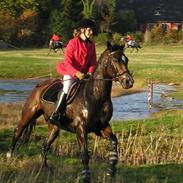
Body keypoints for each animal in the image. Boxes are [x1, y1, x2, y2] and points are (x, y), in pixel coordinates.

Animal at [6, 41, 134, 183]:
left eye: (126, 59)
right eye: (115, 60)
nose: (129, 81)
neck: (95, 95)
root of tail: (40, 85)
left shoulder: (101, 127)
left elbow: (114, 142)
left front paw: (110, 171)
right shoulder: (81, 129)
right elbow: (84, 155)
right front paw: (86, 177)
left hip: (54, 127)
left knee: (44, 146)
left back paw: (45, 169)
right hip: (29, 113)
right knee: (18, 131)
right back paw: (9, 156)